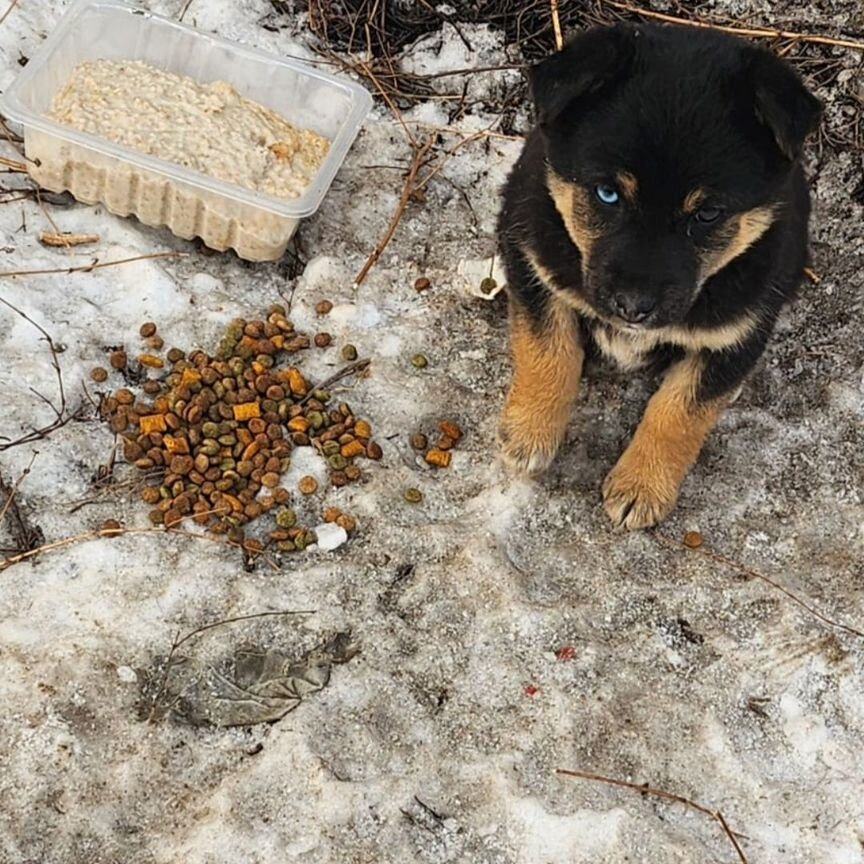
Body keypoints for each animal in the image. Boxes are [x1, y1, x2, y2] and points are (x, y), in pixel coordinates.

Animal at [496, 22, 820, 528]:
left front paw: (641, 486)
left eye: (707, 213)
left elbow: (681, 410)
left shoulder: (740, 332)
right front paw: (529, 432)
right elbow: (548, 348)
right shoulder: (530, 256)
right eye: (607, 193)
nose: (632, 307)